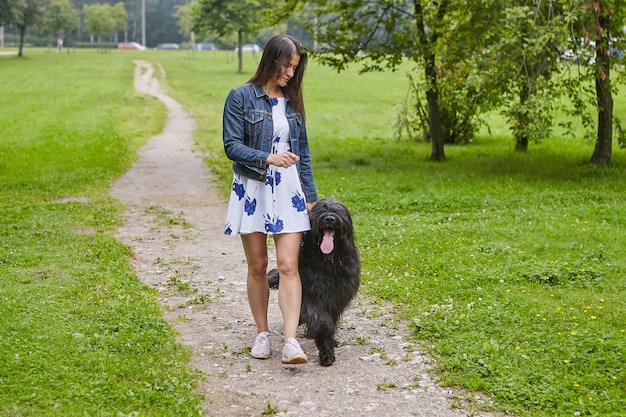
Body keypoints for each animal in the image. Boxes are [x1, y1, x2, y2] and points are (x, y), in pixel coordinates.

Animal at [266, 197, 358, 364]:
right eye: (322, 209)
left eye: (338, 211)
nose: (330, 219)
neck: (327, 261)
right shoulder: (311, 296)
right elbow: (321, 322)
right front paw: (326, 350)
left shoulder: (339, 297)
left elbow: (331, 319)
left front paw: (330, 343)